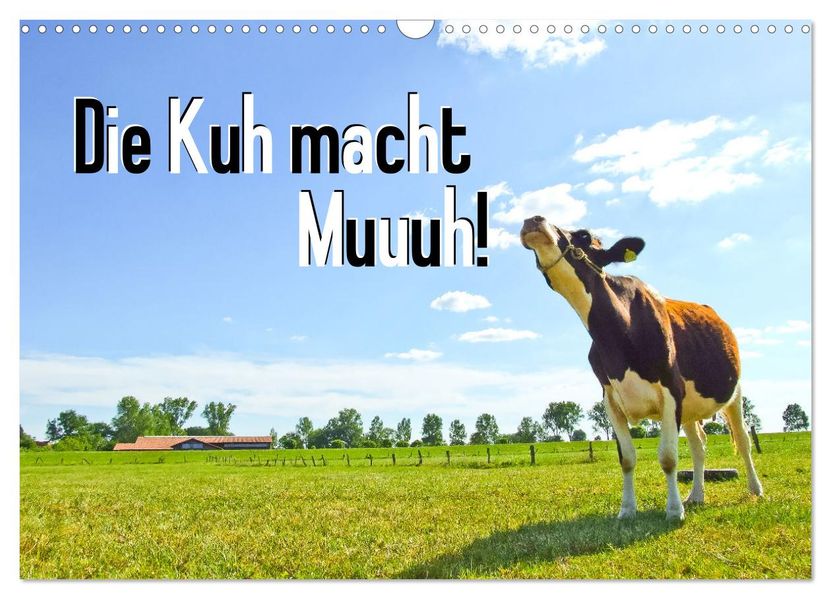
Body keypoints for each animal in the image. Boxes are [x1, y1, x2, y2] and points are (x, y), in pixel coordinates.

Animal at [519, 216, 763, 521]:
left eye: (585, 236)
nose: (533, 219)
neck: (619, 337)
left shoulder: (671, 389)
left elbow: (668, 457)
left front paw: (673, 511)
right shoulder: (610, 398)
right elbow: (627, 458)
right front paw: (627, 509)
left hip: (735, 392)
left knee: (742, 440)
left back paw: (755, 489)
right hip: (690, 407)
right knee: (699, 445)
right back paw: (696, 495)